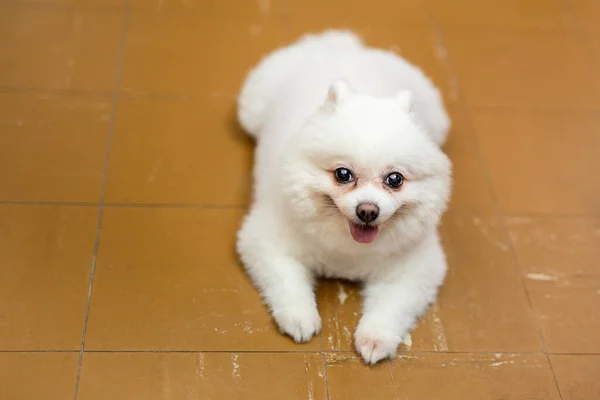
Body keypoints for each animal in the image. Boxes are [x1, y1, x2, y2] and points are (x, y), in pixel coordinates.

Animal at [234, 29, 450, 364]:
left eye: (395, 179)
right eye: (343, 174)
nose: (368, 210)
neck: (347, 254)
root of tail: (341, 44)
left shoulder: (415, 267)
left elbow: (393, 307)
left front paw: (375, 338)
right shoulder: (267, 241)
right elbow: (286, 281)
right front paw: (299, 316)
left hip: (437, 121)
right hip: (251, 109)